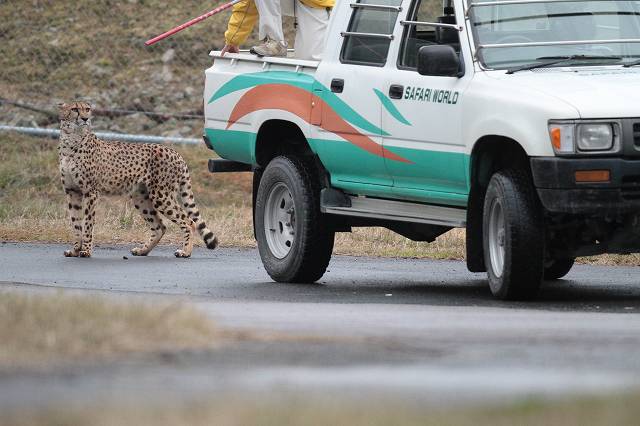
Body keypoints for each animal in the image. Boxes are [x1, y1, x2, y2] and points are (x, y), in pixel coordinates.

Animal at [58, 101, 218, 258]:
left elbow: (87, 223)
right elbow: (76, 223)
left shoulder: (90, 192)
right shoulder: (72, 191)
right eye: (74, 109)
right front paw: (75, 250)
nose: (85, 118)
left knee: (189, 221)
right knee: (160, 226)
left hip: (161, 196)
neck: (71, 139)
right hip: (140, 197)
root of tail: (175, 152)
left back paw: (185, 251)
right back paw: (143, 250)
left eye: (87, 109)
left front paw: (85, 250)